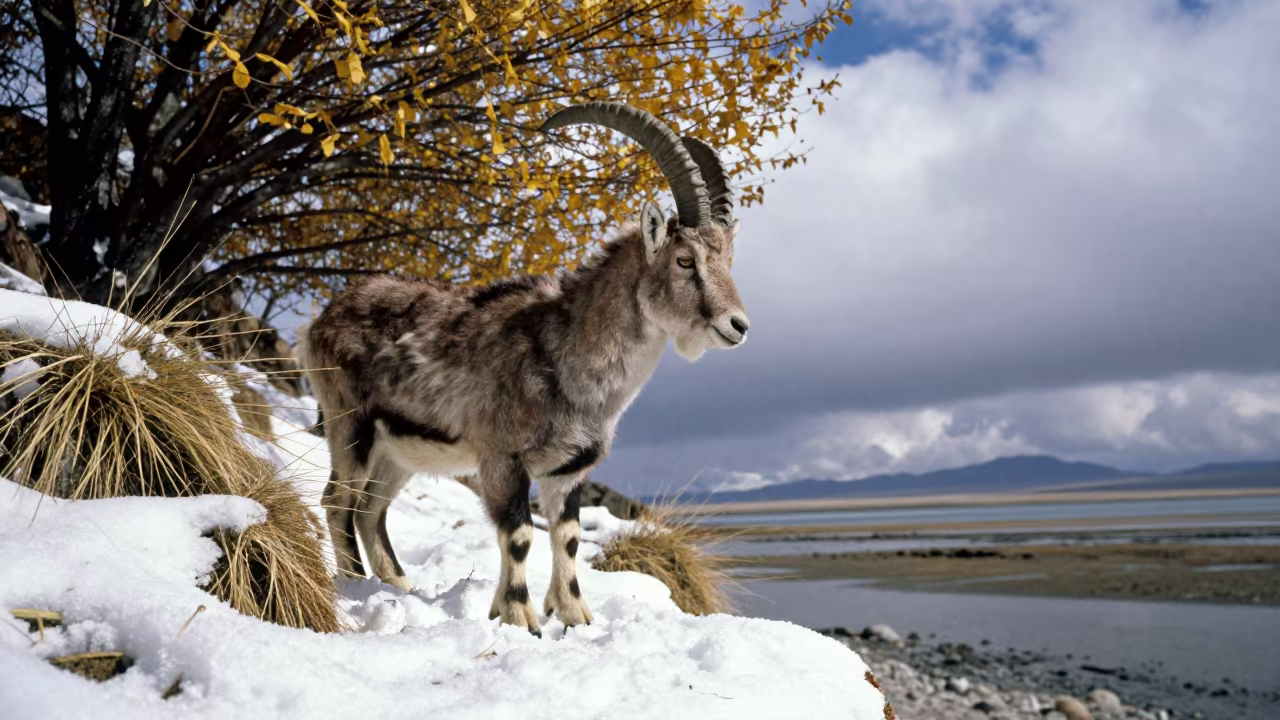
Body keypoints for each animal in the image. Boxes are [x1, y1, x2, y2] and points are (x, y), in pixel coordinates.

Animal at [300, 102, 750, 635]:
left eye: (728, 260)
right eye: (684, 259)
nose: (737, 325)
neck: (563, 357)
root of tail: (319, 322)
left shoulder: (568, 470)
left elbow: (568, 536)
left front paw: (574, 616)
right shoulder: (502, 458)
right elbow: (517, 535)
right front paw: (519, 618)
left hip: (398, 451)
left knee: (371, 510)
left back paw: (397, 587)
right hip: (351, 425)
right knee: (338, 503)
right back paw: (354, 587)